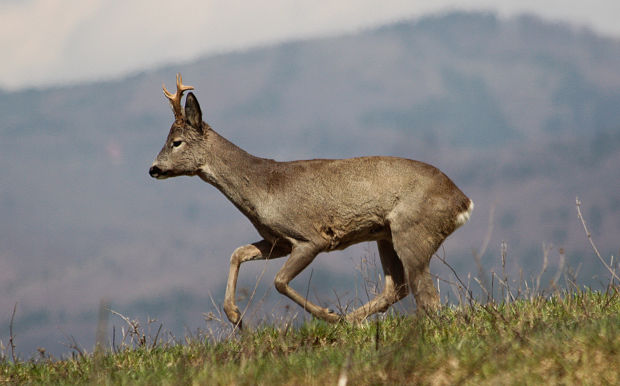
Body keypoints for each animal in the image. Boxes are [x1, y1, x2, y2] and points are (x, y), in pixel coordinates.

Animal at [150, 74, 474, 328]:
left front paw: (328, 314)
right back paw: (352, 320)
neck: (262, 187)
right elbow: (237, 253)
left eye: (176, 142)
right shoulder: (278, 241)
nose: (153, 168)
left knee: (427, 298)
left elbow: (279, 281)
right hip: (386, 235)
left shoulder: (310, 238)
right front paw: (236, 317)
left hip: (413, 230)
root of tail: (463, 201)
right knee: (398, 288)